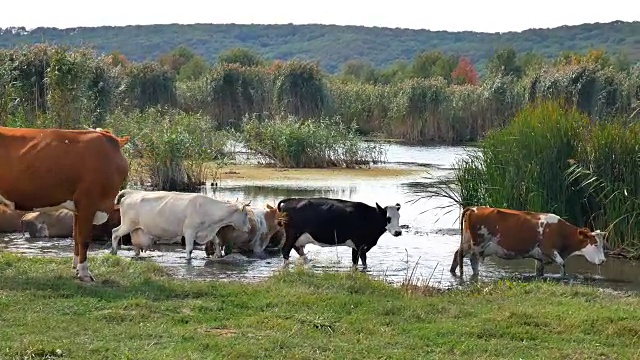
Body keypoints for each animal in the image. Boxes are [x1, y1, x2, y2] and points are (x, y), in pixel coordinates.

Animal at [109, 188, 251, 258]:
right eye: (245, 214)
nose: (249, 227)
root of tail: (132, 193)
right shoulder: (189, 231)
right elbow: (189, 248)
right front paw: (188, 260)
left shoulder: (206, 230)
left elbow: (217, 241)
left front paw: (218, 254)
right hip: (128, 224)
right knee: (115, 232)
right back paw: (114, 251)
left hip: (136, 228)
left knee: (135, 243)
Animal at [450, 205, 604, 278]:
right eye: (596, 244)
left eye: (603, 245)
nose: (603, 261)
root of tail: (475, 208)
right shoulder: (550, 250)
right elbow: (562, 265)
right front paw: (562, 278)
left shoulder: (541, 256)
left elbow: (539, 271)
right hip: (478, 245)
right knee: (473, 260)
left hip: (467, 241)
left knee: (458, 254)